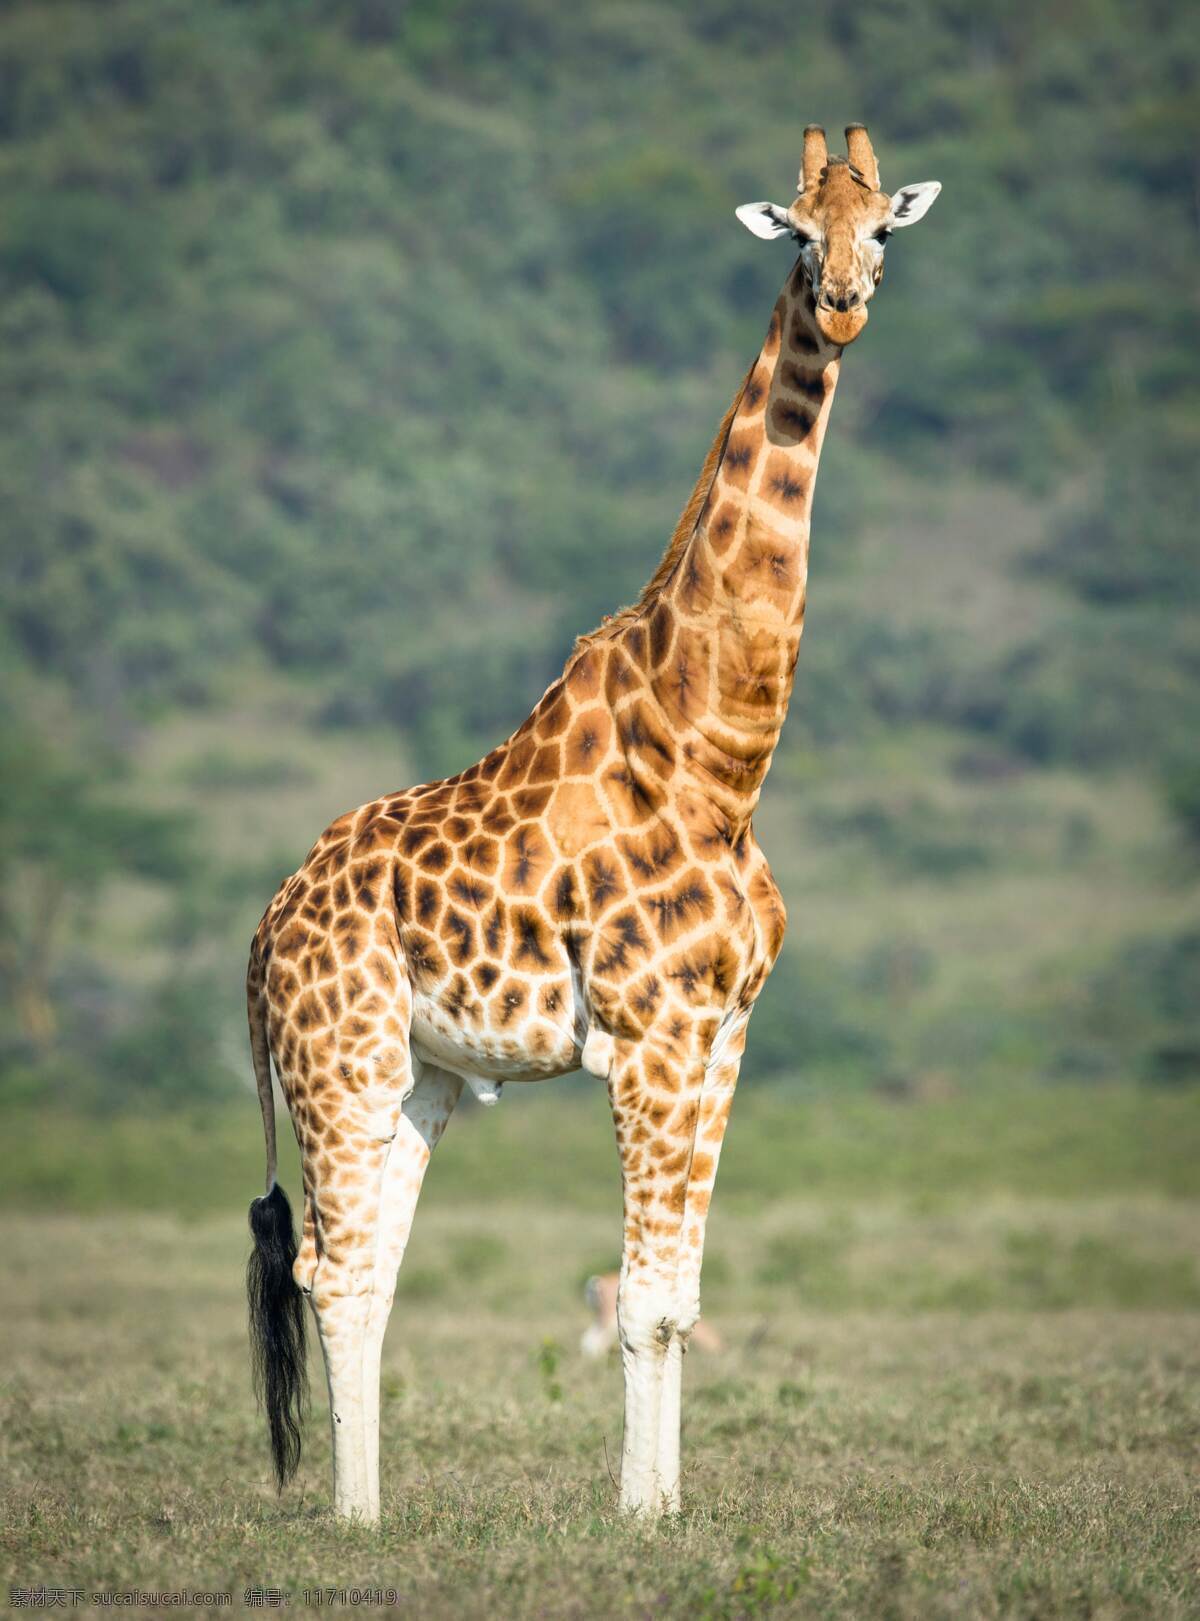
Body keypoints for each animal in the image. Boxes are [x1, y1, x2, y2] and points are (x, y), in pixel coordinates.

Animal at [243, 123, 940, 1517]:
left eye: (883, 226)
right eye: (797, 230)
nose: (843, 301)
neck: (720, 760)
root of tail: (263, 930)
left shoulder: (722, 1038)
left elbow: (674, 1298)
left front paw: (667, 1507)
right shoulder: (653, 1035)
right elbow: (636, 1303)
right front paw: (636, 1513)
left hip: (419, 1079)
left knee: (369, 1275)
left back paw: (374, 1513)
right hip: (337, 1061)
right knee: (329, 1272)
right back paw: (350, 1518)